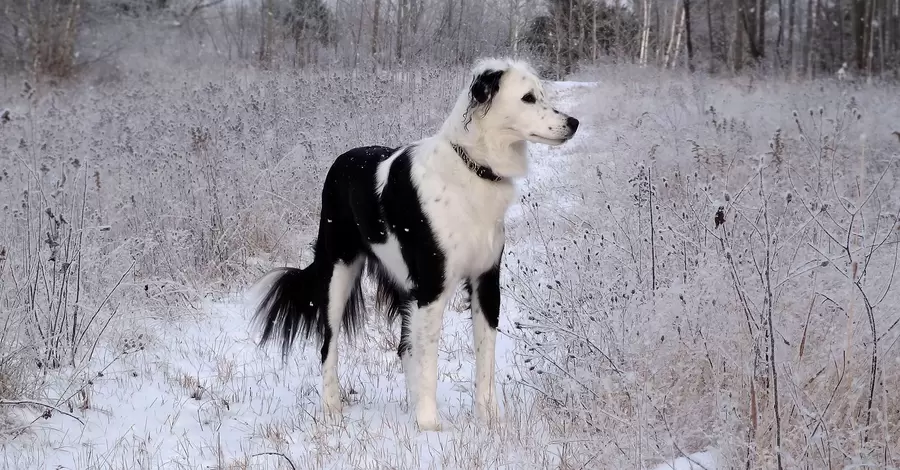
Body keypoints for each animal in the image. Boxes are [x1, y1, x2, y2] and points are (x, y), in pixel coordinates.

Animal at [250, 57, 580, 432]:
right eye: (527, 98)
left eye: (541, 94)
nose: (573, 123)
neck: (473, 167)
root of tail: (342, 160)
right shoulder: (433, 287)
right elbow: (429, 359)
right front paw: (429, 423)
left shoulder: (485, 281)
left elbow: (485, 357)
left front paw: (489, 418)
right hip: (338, 273)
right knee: (328, 345)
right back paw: (332, 408)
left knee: (404, 348)